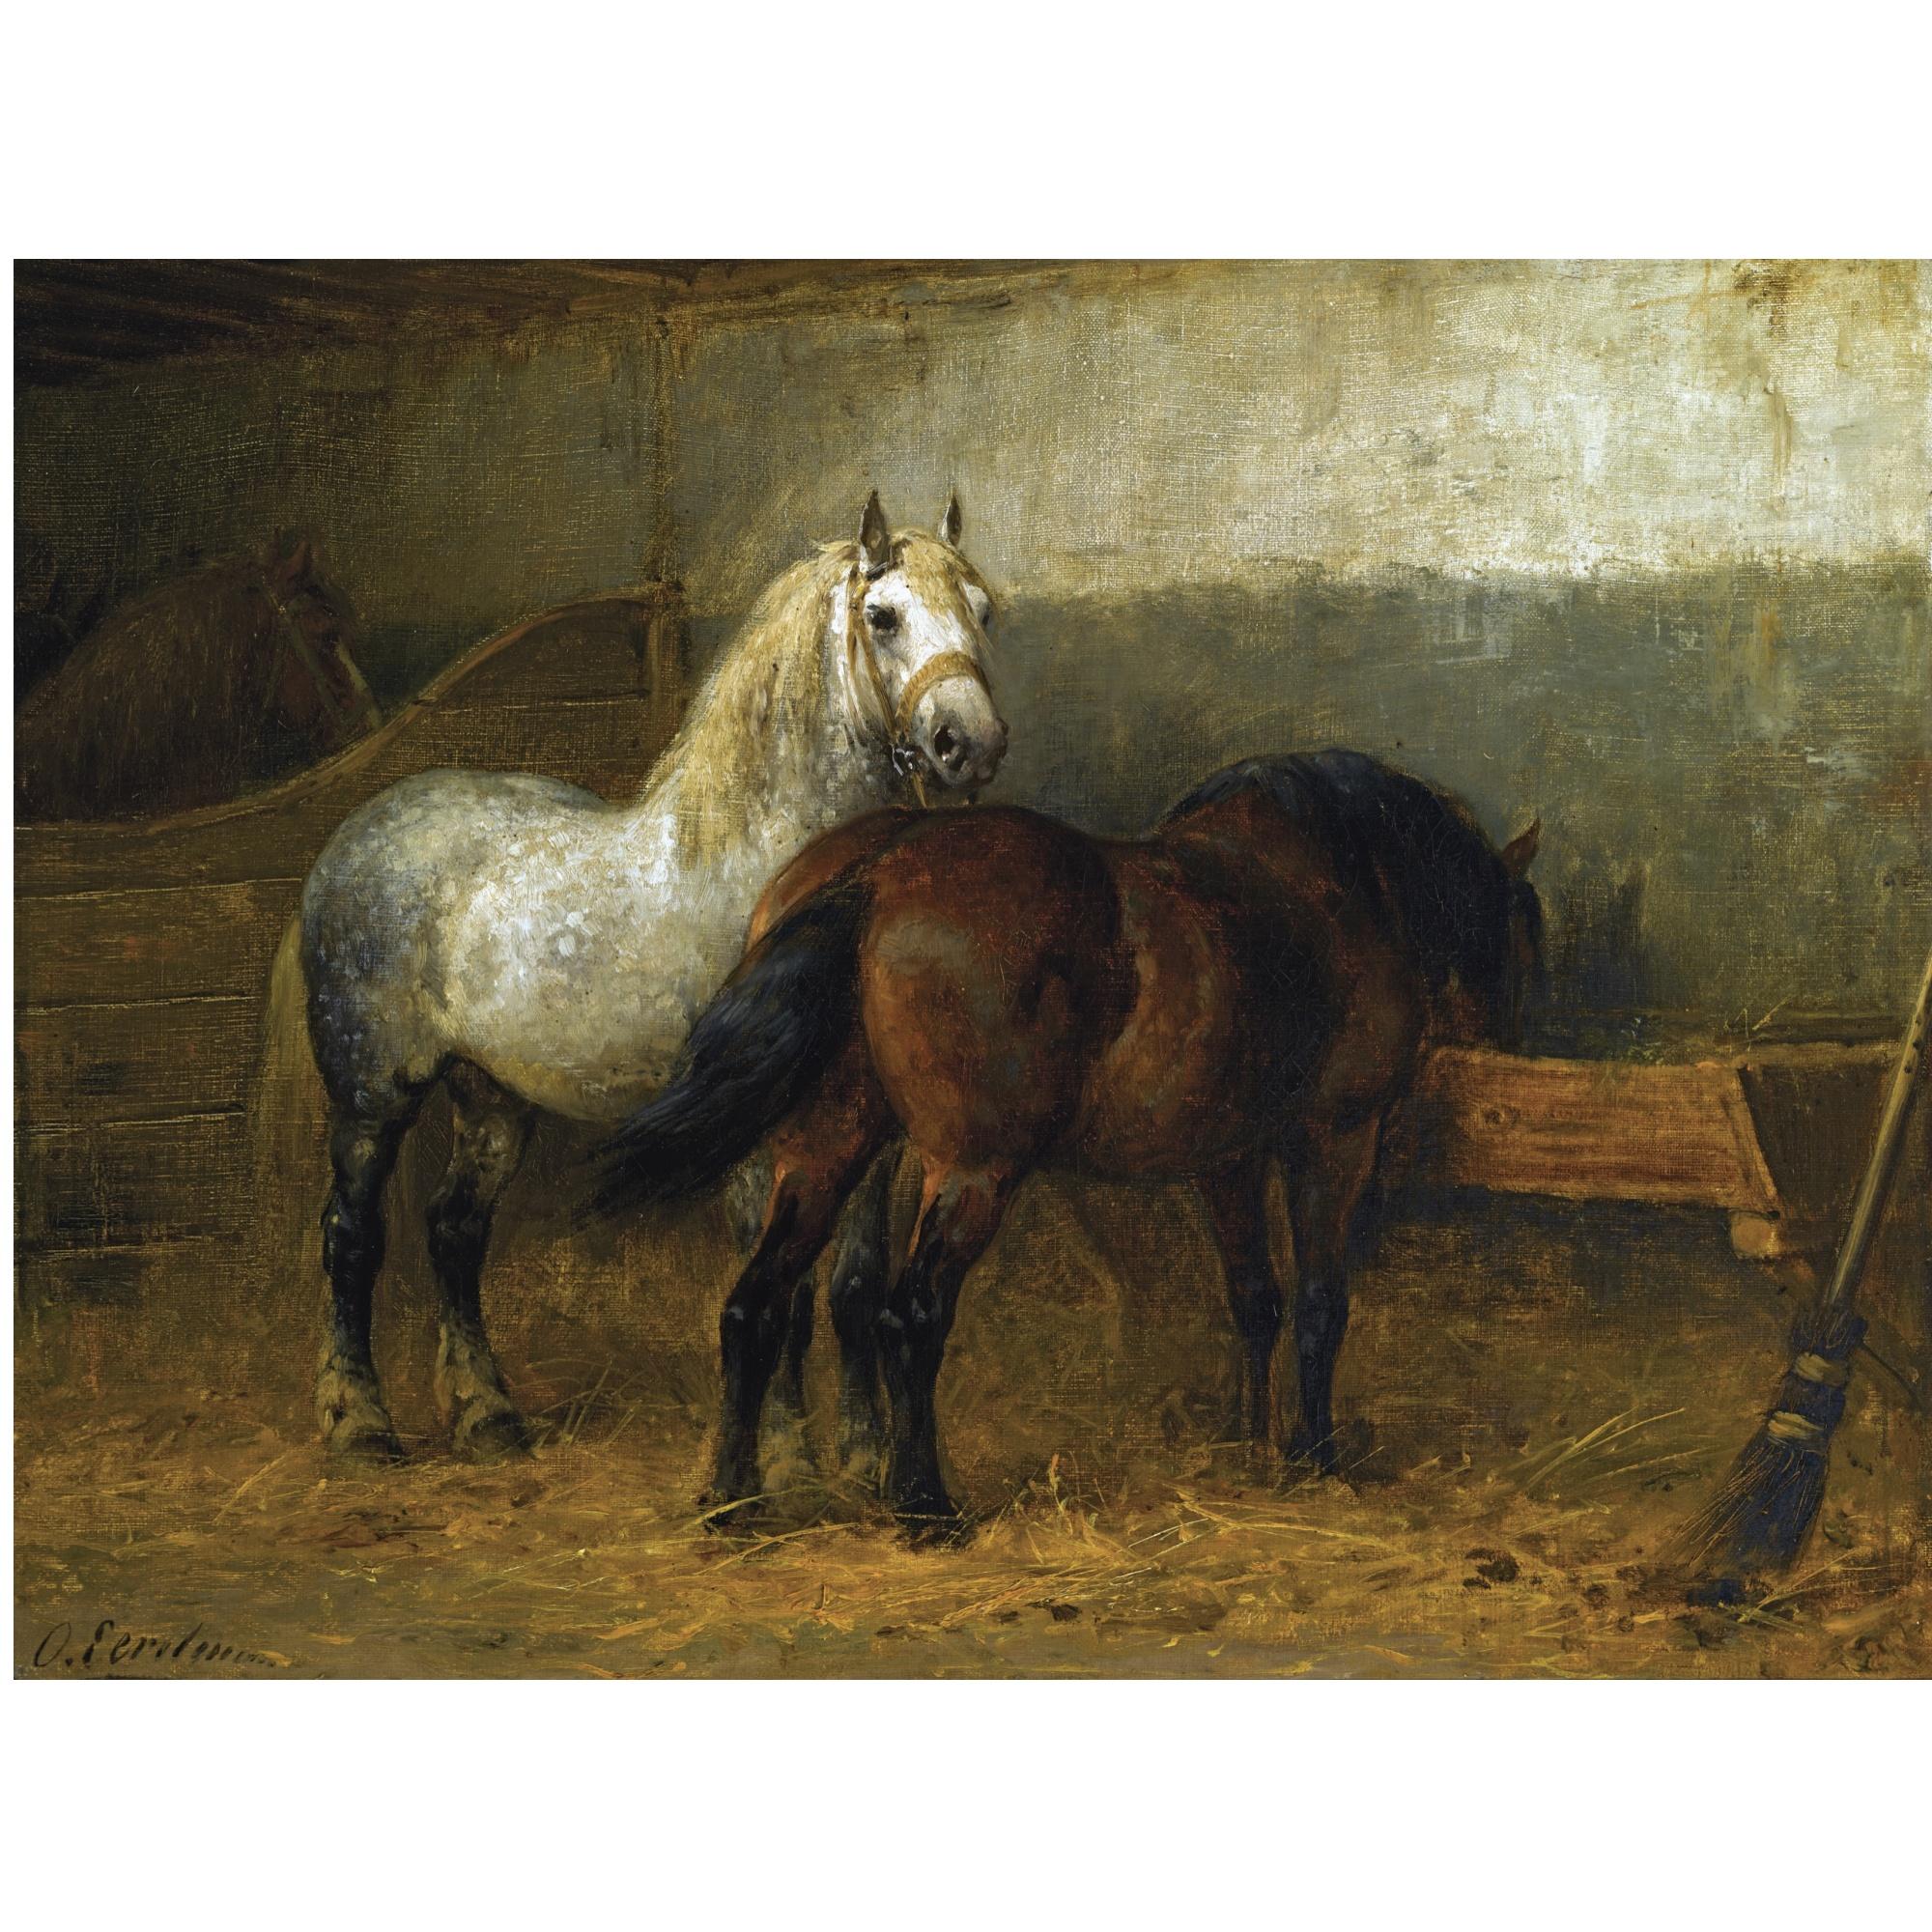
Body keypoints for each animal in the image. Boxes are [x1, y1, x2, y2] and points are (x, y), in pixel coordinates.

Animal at [278, 492, 1007, 1463]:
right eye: (883, 617)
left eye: (984, 611)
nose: (971, 744)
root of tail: (350, 840)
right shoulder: (753, 1137)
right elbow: (781, 1293)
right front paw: (788, 1460)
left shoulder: (872, 1137)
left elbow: (851, 1287)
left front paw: (860, 1455)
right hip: (371, 1099)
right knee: (350, 1238)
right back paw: (359, 1422)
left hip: (492, 1100)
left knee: (454, 1234)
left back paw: (488, 1415)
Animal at [590, 749, 1542, 1538]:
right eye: (1522, 937)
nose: (1508, 1038)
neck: (1334, 879)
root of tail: (884, 867)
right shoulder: (1332, 1141)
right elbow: (1319, 1303)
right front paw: (1315, 1457)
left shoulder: (1228, 1160)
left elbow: (1255, 1300)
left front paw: (1252, 1443)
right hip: (972, 1172)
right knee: (911, 1315)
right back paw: (924, 1507)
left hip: (826, 1152)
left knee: (752, 1304)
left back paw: (733, 1502)